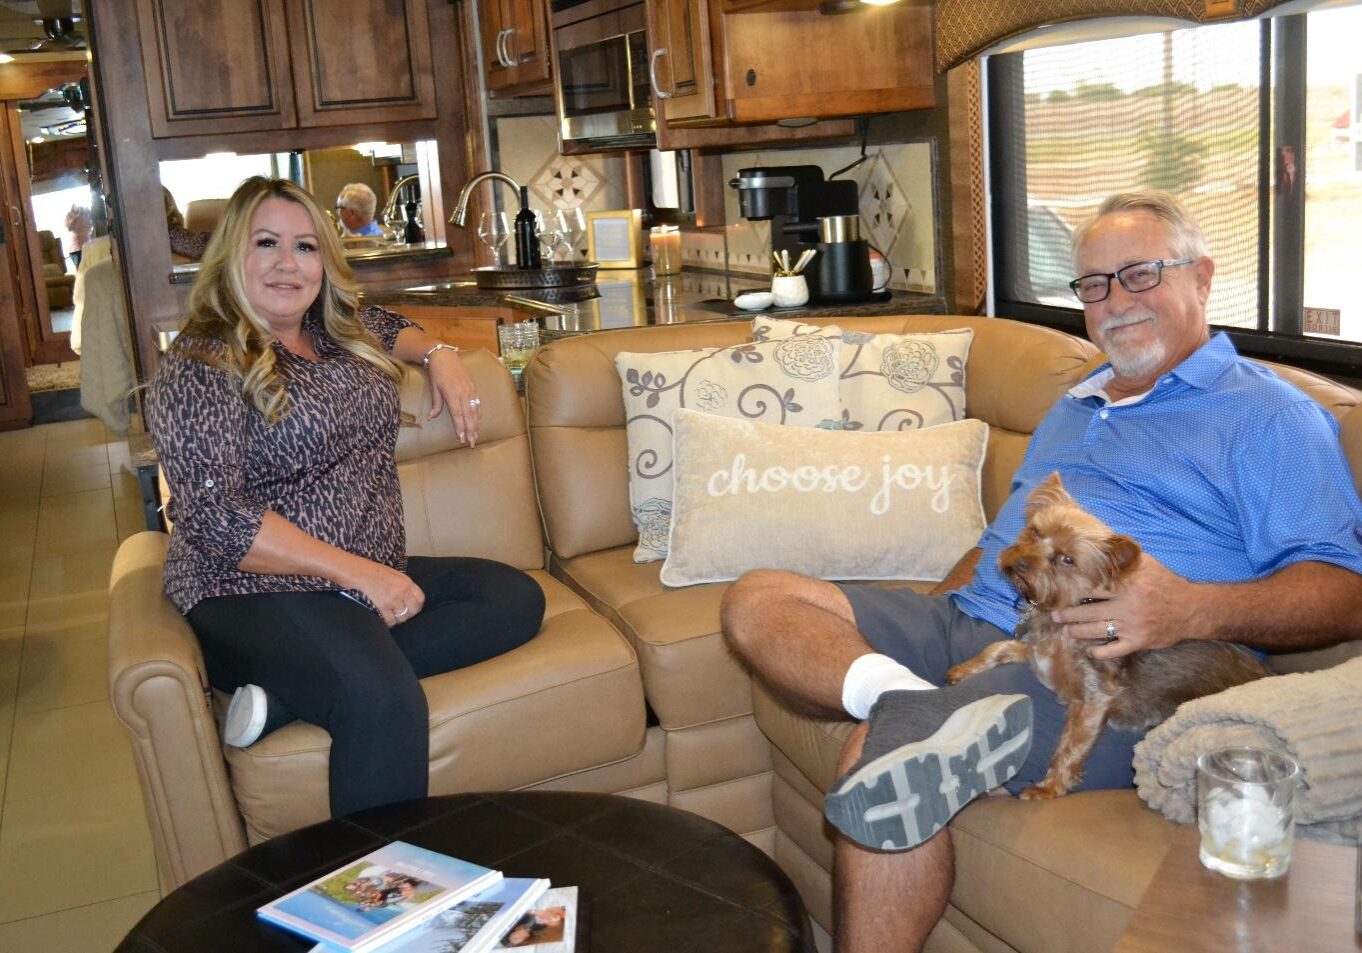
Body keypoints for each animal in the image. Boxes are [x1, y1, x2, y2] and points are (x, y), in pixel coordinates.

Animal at [947, 473, 1263, 800]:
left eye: (1066, 559)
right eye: (1034, 532)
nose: (1021, 562)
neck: (1059, 616)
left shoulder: (1093, 700)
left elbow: (1069, 747)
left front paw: (1048, 788)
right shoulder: (1037, 652)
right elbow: (999, 647)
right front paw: (963, 670)